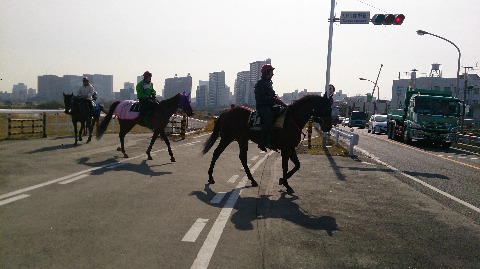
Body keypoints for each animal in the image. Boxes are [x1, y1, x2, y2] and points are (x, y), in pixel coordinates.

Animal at [201, 93, 332, 193]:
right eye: (326, 108)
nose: (329, 126)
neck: (292, 120)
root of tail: (226, 112)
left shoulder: (290, 148)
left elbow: (297, 165)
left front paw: (284, 181)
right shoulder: (286, 148)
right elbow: (286, 166)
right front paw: (285, 182)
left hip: (242, 138)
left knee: (242, 157)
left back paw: (252, 179)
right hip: (227, 137)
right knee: (216, 153)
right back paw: (210, 176)